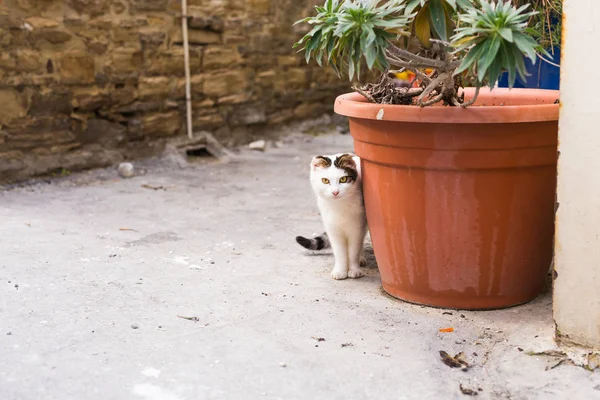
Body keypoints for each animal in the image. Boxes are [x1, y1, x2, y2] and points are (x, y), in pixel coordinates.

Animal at [294, 154, 366, 282]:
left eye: (343, 179)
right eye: (325, 180)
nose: (335, 192)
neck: (339, 207)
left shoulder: (357, 228)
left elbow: (353, 251)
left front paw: (354, 270)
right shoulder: (333, 229)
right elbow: (340, 252)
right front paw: (340, 271)